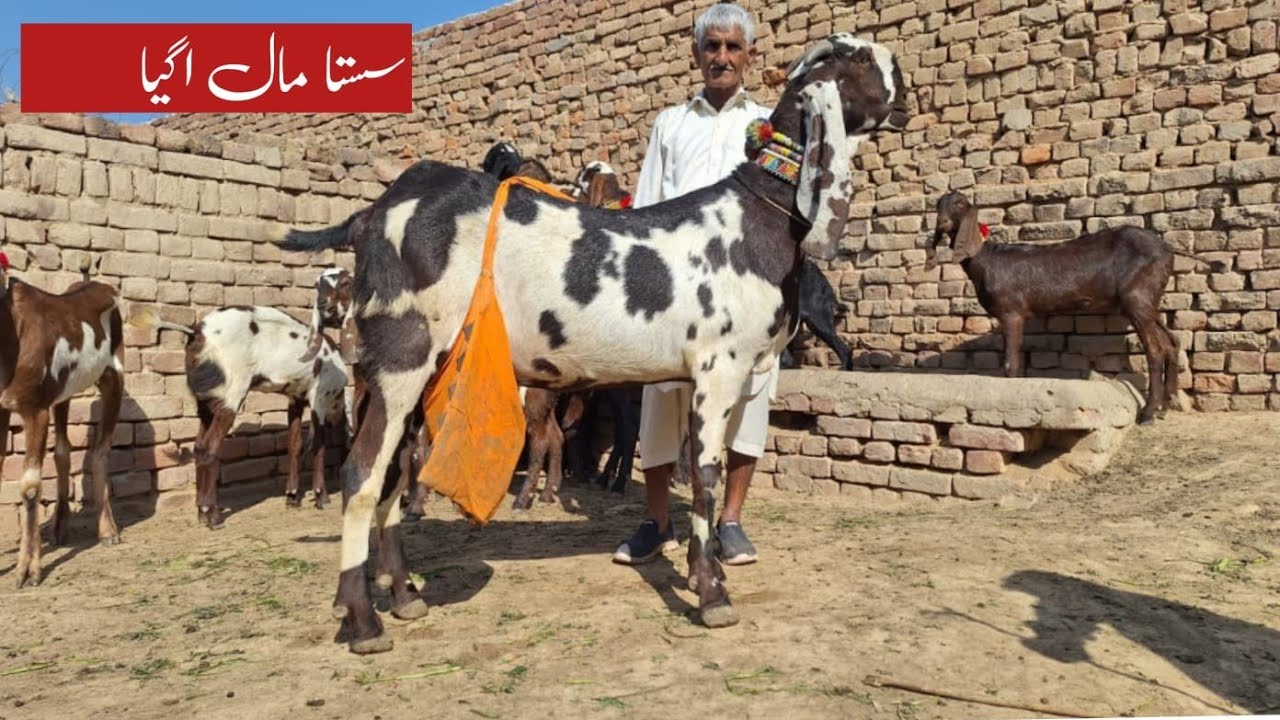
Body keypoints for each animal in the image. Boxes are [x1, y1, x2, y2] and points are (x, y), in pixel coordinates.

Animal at [1, 251, 124, 588]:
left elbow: (30, 487)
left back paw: (108, 531)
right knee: (63, 451)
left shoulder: (35, 408)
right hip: (64, 392)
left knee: (101, 451)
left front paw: (27, 570)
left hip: (115, 373)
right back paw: (60, 527)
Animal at [135, 273, 350, 528]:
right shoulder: (319, 395)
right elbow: (319, 444)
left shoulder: (295, 397)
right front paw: (321, 496)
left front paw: (292, 496)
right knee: (210, 448)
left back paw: (201, 512)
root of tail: (196, 332)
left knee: (199, 447)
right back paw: (212, 515)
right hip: (231, 395)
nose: (326, 306)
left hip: (206, 402)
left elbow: (294, 444)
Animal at [280, 34, 909, 652]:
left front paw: (710, 575)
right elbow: (705, 475)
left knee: (390, 470)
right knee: (361, 471)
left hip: (423, 370)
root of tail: (372, 214)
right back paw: (364, 621)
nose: (905, 91)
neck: (753, 217)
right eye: (856, 57)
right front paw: (711, 596)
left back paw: (405, 594)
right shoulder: (719, 366)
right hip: (401, 357)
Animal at [928, 191, 1223, 425]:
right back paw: (1168, 404)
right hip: (1149, 300)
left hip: (1137, 299)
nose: (942, 223)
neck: (988, 260)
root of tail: (1167, 248)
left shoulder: (1012, 313)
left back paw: (1149, 413)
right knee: (1172, 341)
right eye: (938, 204)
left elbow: (1011, 363)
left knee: (1156, 349)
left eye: (960, 204)